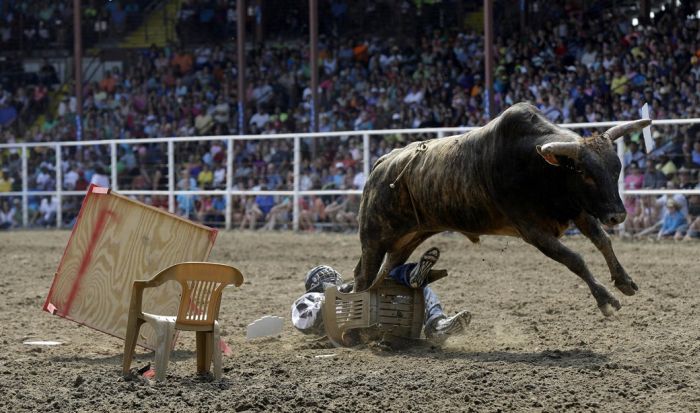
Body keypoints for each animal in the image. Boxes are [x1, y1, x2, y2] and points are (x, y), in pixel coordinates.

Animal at [356, 101, 652, 314]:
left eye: (616, 168)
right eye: (585, 173)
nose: (617, 215)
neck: (541, 168)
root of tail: (382, 163)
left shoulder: (578, 211)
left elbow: (602, 240)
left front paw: (624, 280)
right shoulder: (533, 231)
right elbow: (574, 259)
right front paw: (605, 299)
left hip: (407, 238)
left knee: (384, 273)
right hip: (375, 236)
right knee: (364, 274)